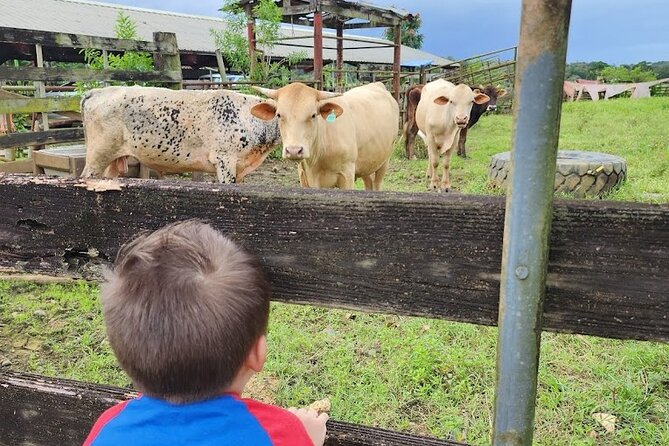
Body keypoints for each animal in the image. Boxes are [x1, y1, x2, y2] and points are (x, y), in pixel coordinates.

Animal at [249, 82, 396, 190]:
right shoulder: (304, 176)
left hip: (384, 162)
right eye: (279, 115)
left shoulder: (347, 175)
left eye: (313, 115)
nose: (294, 150)